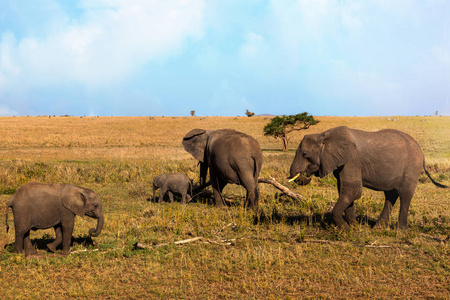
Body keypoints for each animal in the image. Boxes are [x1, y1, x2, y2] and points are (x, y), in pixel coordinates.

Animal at [288, 125, 446, 229]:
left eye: (305, 154)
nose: (305, 176)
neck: (323, 135)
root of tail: (422, 153)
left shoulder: (351, 160)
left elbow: (353, 191)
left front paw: (345, 228)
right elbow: (345, 191)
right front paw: (353, 227)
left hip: (412, 167)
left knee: (405, 195)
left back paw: (400, 231)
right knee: (391, 195)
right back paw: (378, 228)